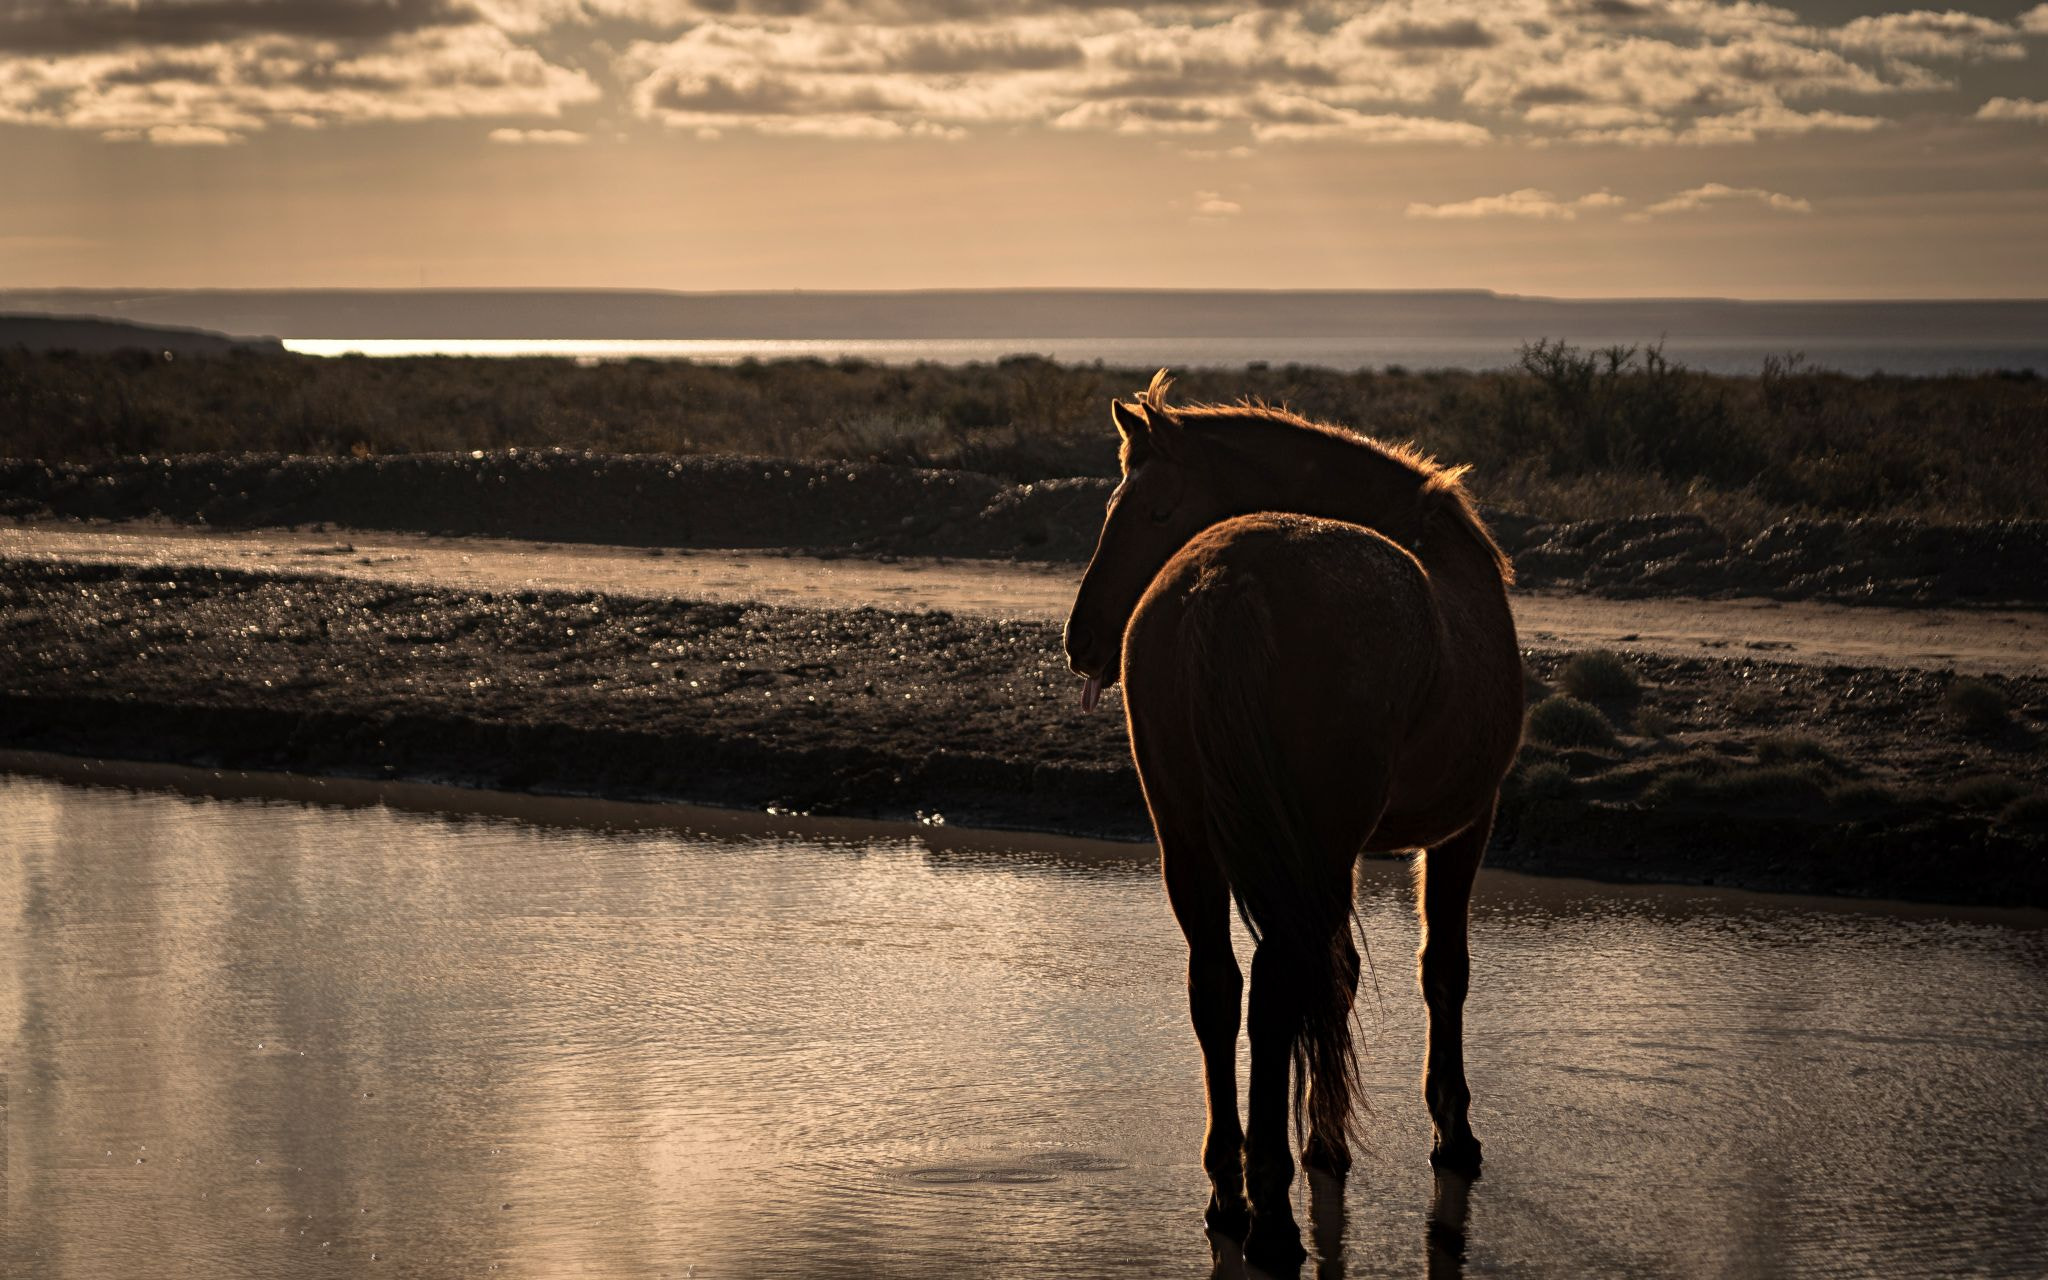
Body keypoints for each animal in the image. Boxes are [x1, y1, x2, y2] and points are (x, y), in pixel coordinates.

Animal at [1064, 368, 1531, 1269]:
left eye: (1156, 510)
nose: (1082, 641)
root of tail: (1228, 581)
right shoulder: (1461, 829)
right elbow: (1438, 972)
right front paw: (1448, 1131)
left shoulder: (1327, 856)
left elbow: (1336, 975)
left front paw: (1326, 1140)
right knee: (1276, 986)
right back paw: (1275, 1217)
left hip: (1191, 848)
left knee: (1219, 986)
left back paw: (1230, 1191)